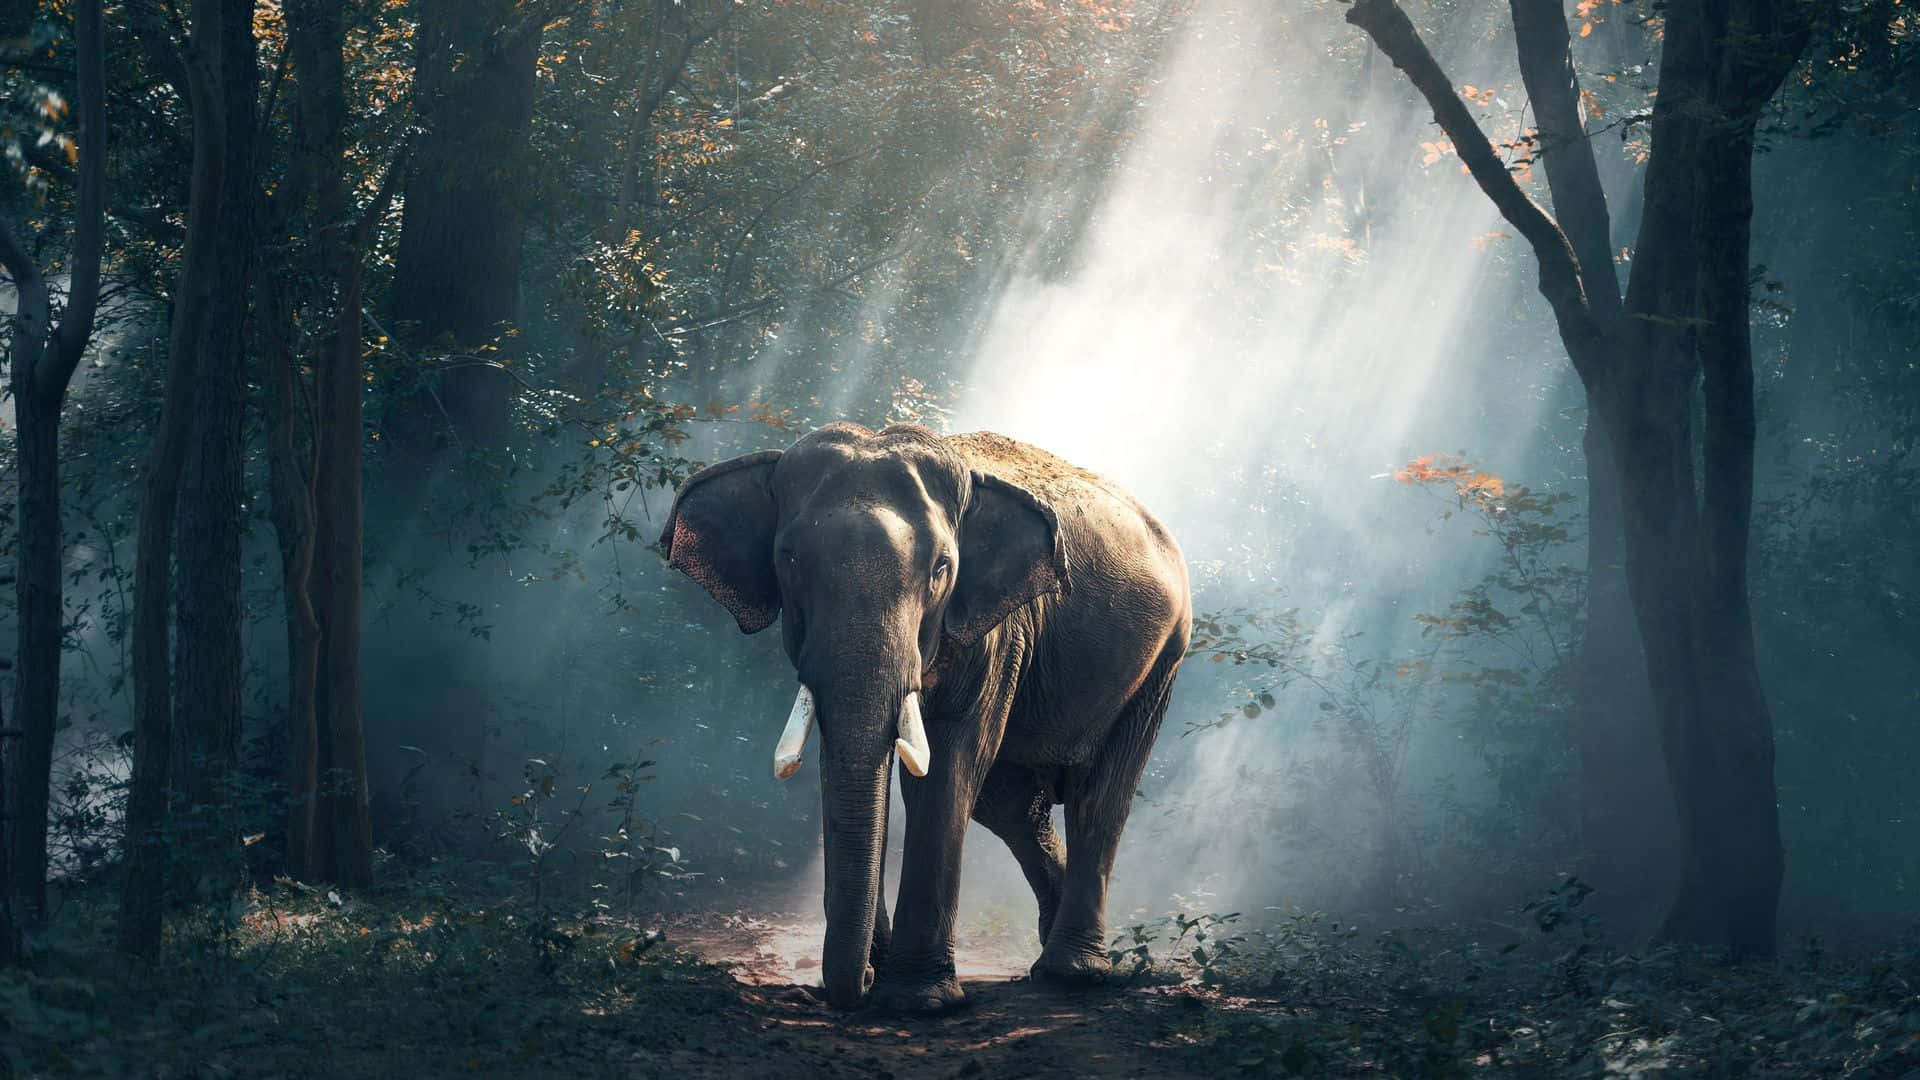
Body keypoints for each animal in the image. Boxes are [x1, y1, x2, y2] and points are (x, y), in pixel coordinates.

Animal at [668, 420, 1190, 1006]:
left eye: (942, 567)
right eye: (790, 560)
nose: (863, 981)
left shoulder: (996, 631)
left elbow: (947, 764)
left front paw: (918, 1001)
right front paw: (885, 974)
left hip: (1162, 660)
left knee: (1098, 799)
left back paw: (1072, 973)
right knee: (1011, 805)